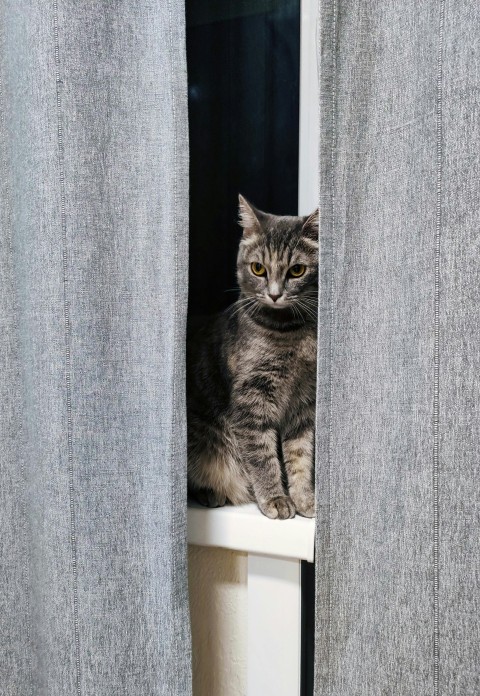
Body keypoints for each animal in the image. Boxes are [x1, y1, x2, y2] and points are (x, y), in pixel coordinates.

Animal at [188, 193, 318, 520]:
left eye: (297, 270)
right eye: (258, 268)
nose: (274, 293)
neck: (288, 333)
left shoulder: (304, 404)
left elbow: (301, 456)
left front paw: (304, 499)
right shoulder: (251, 402)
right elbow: (262, 456)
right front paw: (275, 499)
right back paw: (212, 493)